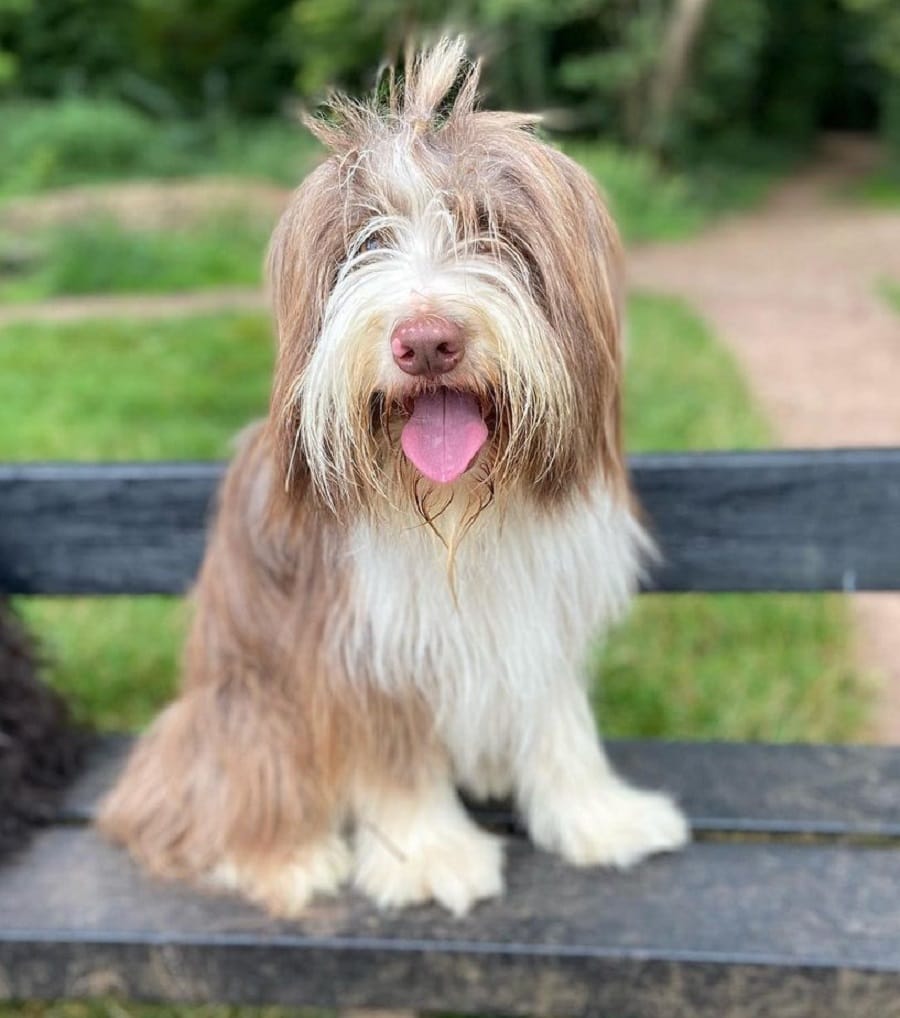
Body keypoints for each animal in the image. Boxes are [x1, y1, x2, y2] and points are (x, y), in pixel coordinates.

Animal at [100, 37, 688, 916]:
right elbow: (393, 758)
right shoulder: (358, 638)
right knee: (202, 793)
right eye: (366, 242)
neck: (458, 508)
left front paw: (597, 816)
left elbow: (557, 718)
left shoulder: (541, 606)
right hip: (244, 704)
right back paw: (286, 858)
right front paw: (428, 855)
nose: (427, 341)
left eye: (492, 230)